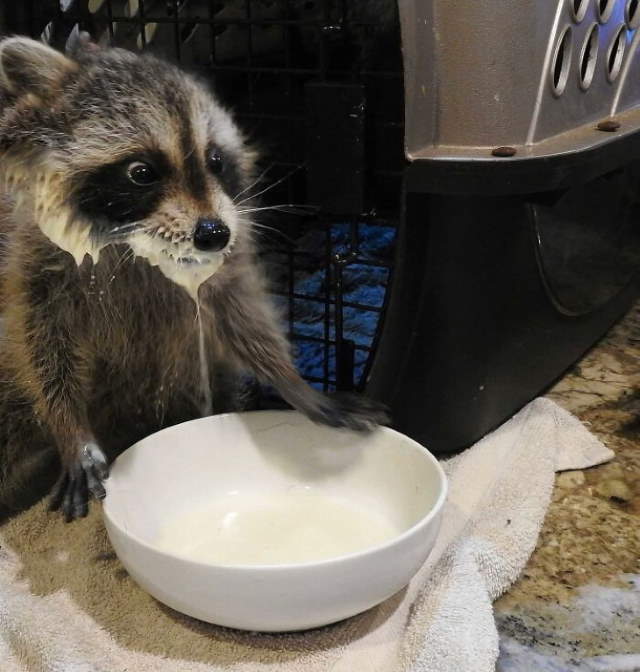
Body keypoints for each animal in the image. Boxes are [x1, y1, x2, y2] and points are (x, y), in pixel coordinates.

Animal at [0, 35, 387, 522]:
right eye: (141, 172)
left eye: (215, 160)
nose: (214, 234)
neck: (129, 242)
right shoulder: (30, 257)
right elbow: (41, 339)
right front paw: (70, 428)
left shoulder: (227, 249)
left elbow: (239, 311)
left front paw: (293, 382)